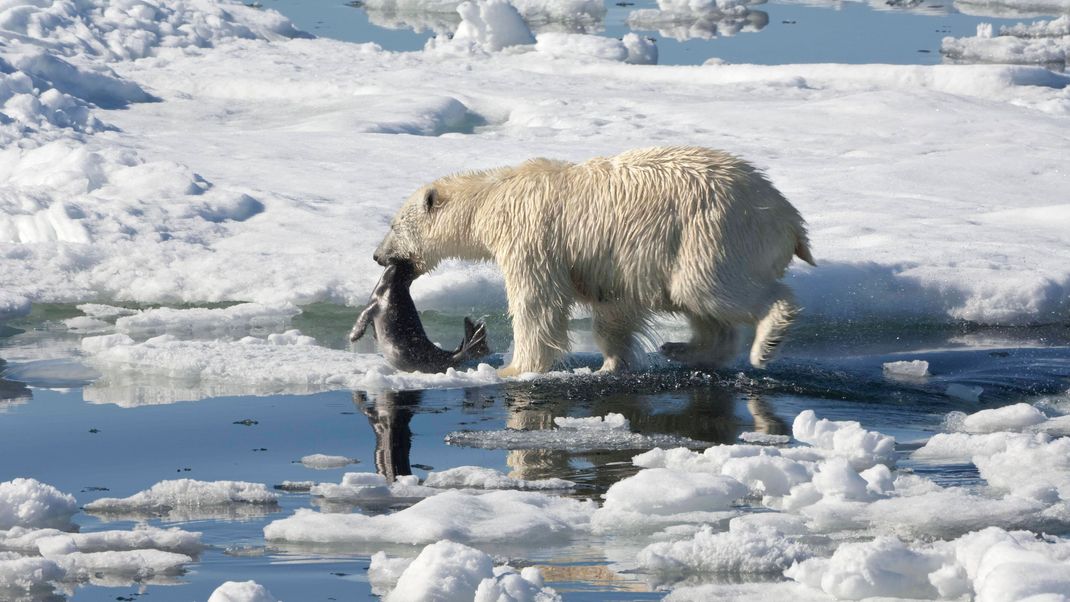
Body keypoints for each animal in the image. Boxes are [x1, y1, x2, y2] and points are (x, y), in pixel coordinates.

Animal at [372, 146, 813, 374]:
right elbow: (613, 308)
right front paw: (612, 363)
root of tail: (789, 219)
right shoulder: (611, 262)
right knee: (699, 303)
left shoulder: (531, 236)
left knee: (711, 288)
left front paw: (514, 368)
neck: (493, 198)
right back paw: (682, 349)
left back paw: (765, 344)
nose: (378, 256)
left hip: (713, 232)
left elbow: (537, 303)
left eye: (393, 224)